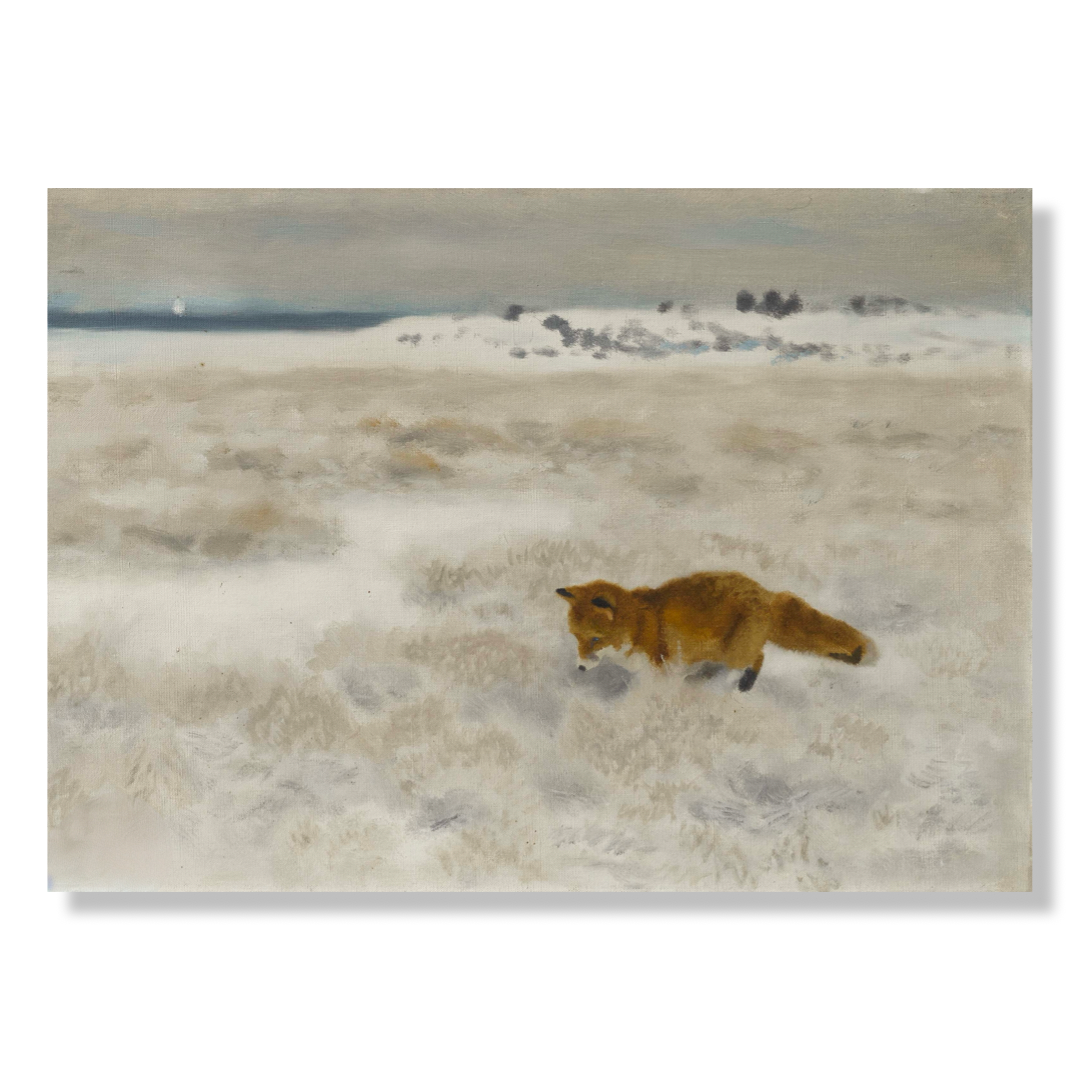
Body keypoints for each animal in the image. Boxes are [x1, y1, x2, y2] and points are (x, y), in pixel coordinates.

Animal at [556, 571, 877, 691]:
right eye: (576, 638)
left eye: (595, 639)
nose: (579, 668)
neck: (638, 625)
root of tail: (766, 594)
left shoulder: (662, 665)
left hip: (735, 651)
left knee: (759, 657)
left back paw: (744, 684)